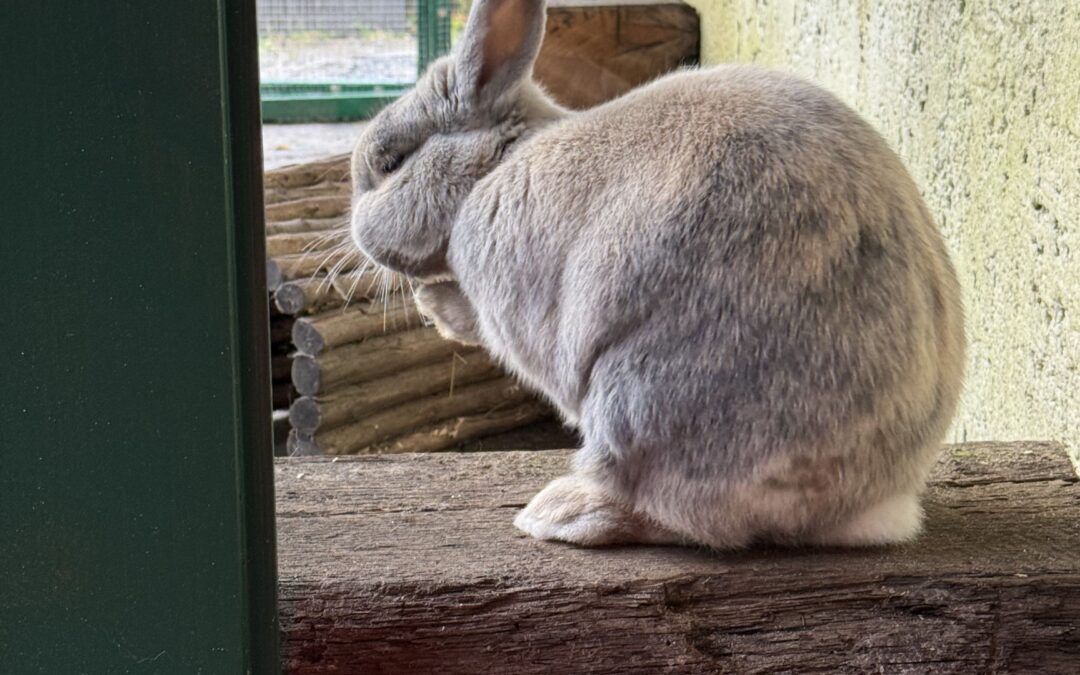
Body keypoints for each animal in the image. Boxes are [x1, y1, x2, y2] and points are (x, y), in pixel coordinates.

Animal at [349, 0, 966, 548]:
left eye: (389, 163)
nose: (355, 230)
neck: (494, 166)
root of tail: (867, 505)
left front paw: (435, 308)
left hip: (636, 400)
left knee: (681, 518)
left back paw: (560, 513)